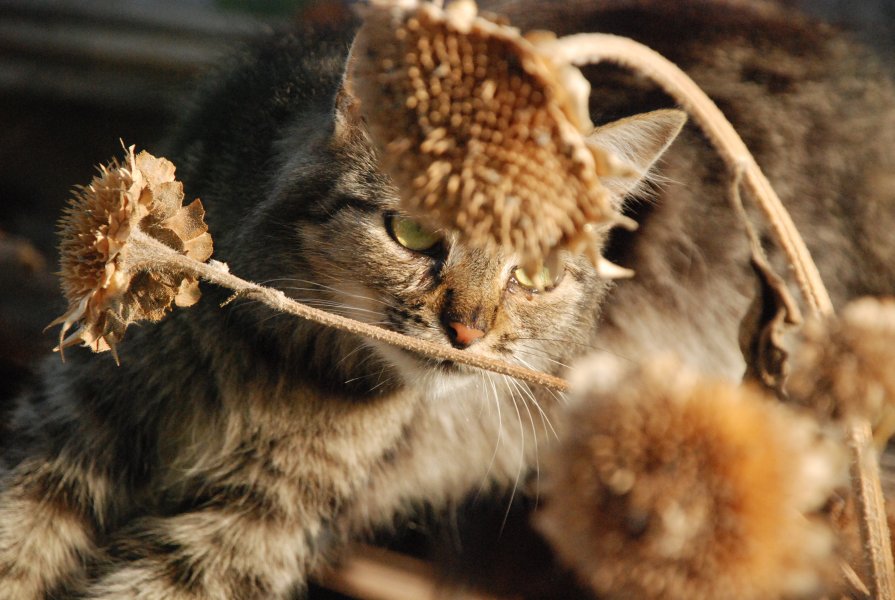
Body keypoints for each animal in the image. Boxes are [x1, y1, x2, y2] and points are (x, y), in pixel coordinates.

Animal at [1, 0, 895, 596]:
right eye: (414, 234)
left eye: (533, 274)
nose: (466, 332)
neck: (273, 360)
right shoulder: (73, 426)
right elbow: (17, 544)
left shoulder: (251, 525)